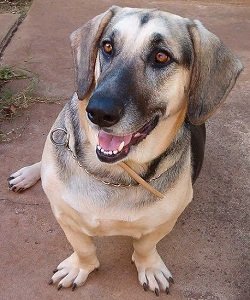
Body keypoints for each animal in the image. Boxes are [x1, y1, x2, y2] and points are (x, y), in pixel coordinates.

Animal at [7, 6, 242, 296]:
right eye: (107, 46)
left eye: (161, 56)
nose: (99, 112)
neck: (113, 174)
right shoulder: (65, 216)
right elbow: (83, 247)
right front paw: (80, 267)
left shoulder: (163, 222)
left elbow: (144, 247)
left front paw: (148, 266)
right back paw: (27, 174)